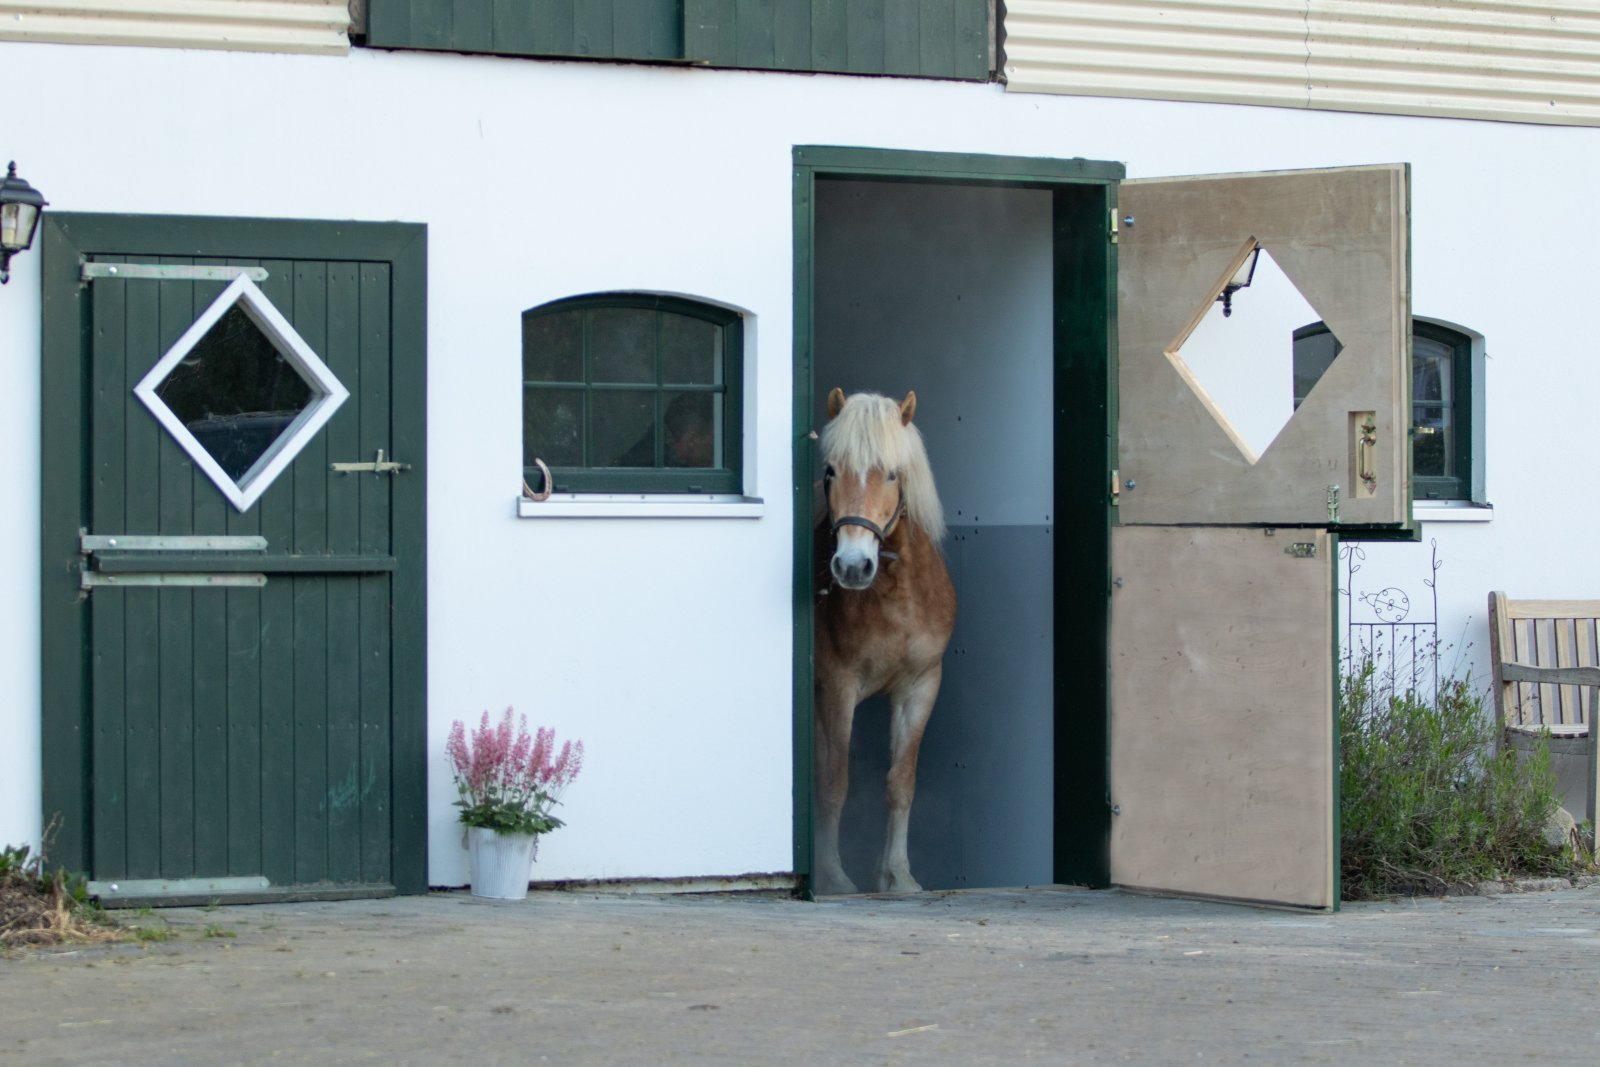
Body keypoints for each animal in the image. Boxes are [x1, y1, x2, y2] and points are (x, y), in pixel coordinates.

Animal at [813, 387, 957, 894]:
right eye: (830, 470)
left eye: (893, 473)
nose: (853, 566)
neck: (895, 596)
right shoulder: (837, 688)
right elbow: (834, 781)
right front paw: (832, 876)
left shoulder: (920, 686)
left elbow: (901, 781)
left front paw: (896, 874)